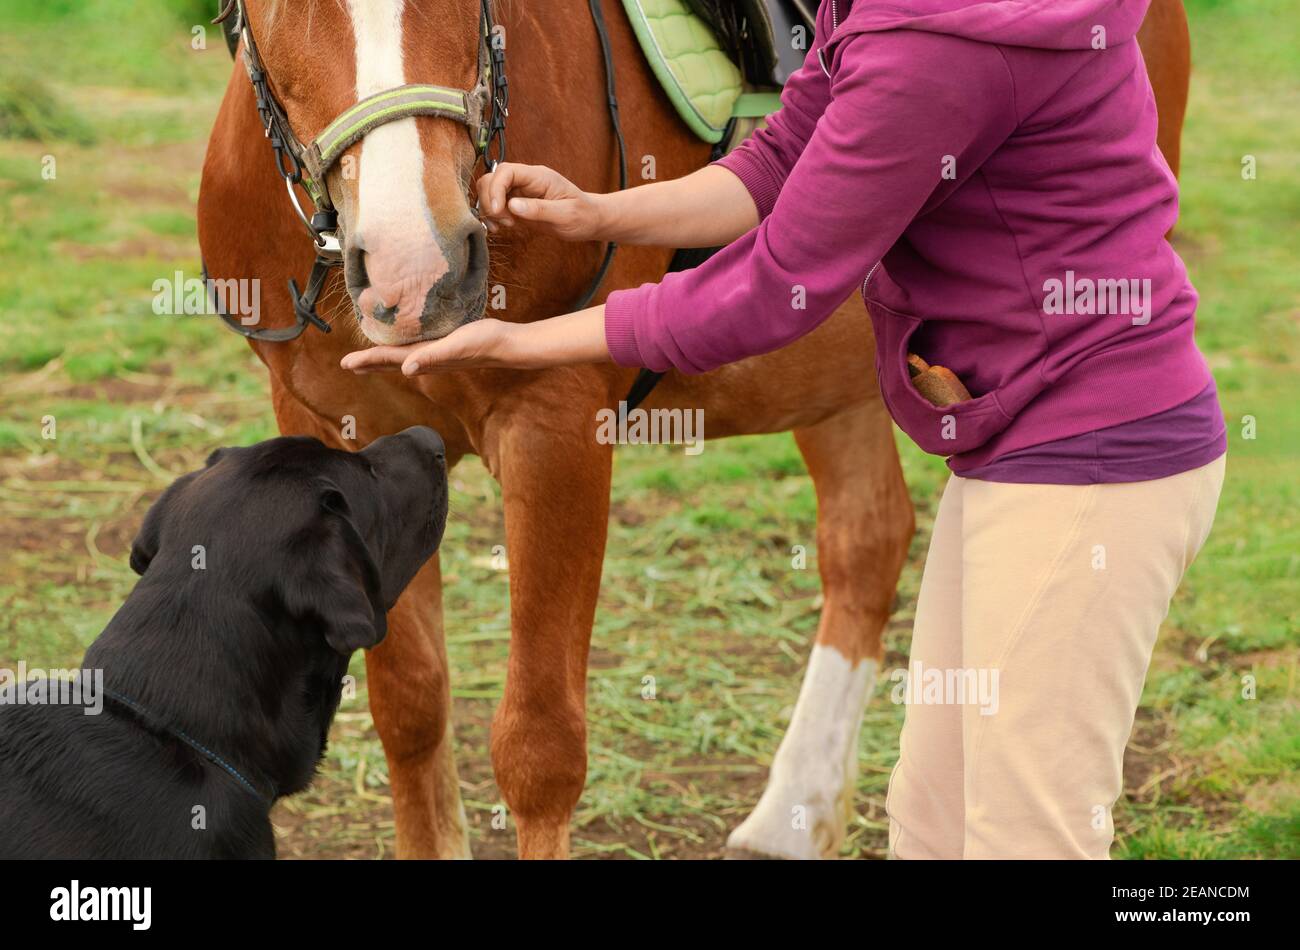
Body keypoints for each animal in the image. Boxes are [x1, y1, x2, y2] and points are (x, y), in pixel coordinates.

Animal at [197, 0, 1191, 859]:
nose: (417, 269)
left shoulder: (556, 433)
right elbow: (408, 709)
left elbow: (539, 751)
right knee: (867, 539)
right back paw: (793, 816)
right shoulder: (343, 432)